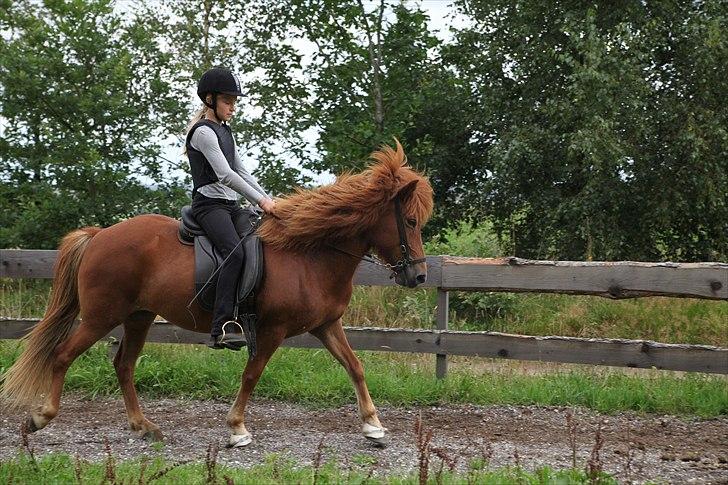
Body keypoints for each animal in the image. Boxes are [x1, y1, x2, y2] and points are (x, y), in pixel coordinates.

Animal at [0, 139, 432, 446]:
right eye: (410, 221)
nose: (419, 277)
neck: (309, 254)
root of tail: (100, 235)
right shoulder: (271, 331)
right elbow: (252, 374)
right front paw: (237, 428)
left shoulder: (326, 325)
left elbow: (355, 366)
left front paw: (373, 426)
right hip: (101, 316)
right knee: (62, 355)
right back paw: (40, 418)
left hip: (138, 317)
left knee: (123, 365)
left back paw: (144, 427)